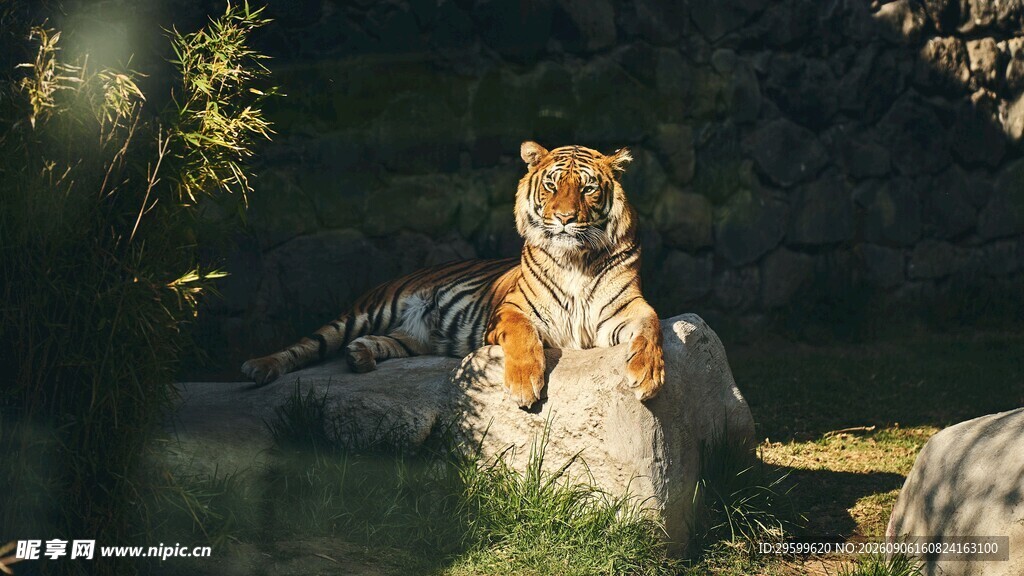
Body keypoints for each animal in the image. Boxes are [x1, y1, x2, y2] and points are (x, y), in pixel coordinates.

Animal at [241, 141, 665, 408]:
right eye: (551, 185)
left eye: (588, 188)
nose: (564, 218)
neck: (574, 259)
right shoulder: (512, 312)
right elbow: (524, 338)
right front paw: (524, 385)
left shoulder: (625, 308)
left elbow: (652, 325)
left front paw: (647, 375)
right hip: (364, 313)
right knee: (306, 344)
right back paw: (260, 367)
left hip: (413, 339)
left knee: (386, 344)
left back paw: (360, 356)